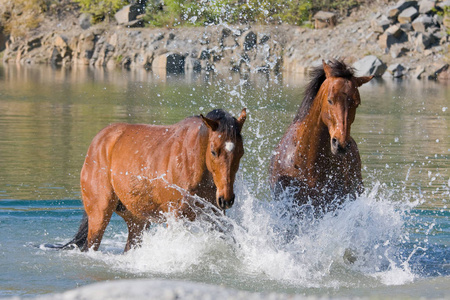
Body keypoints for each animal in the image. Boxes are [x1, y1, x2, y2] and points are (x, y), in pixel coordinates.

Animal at [62, 108, 246, 251]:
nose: (226, 199)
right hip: (99, 216)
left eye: (241, 152)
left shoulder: (216, 217)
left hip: (137, 220)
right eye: (214, 151)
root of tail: (98, 141)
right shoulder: (175, 217)